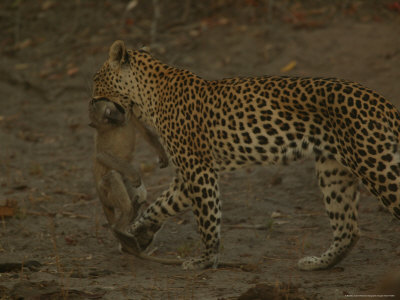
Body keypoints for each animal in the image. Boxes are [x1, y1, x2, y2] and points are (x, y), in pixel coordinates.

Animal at [92, 39, 400, 272]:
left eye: (96, 80)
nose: (91, 99)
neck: (145, 97)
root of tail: (383, 103)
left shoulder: (198, 169)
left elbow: (207, 217)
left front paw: (205, 259)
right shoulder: (188, 174)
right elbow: (162, 204)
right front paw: (138, 230)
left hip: (378, 165)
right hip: (333, 170)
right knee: (348, 229)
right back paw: (318, 263)